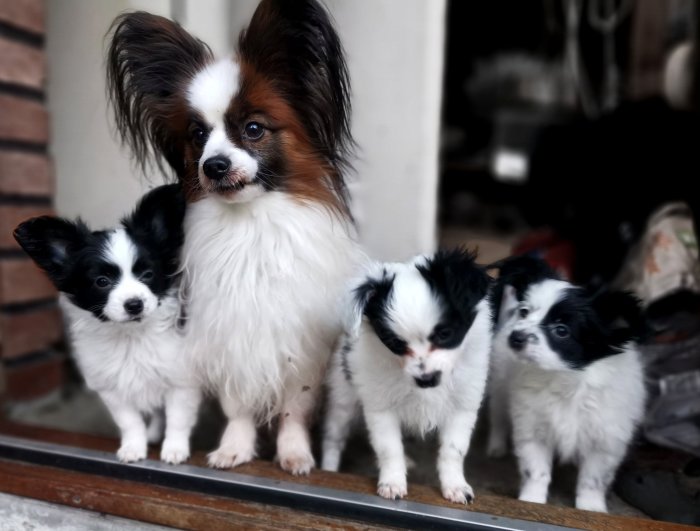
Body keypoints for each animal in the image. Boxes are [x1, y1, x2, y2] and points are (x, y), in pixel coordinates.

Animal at [13, 186, 201, 466]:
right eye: (101, 281)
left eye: (148, 275)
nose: (134, 304)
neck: (130, 337)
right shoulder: (112, 389)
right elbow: (130, 422)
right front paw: (134, 447)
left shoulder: (180, 381)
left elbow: (177, 419)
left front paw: (175, 450)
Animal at [322, 251, 490, 504]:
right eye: (394, 343)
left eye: (445, 334)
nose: (426, 379)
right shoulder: (381, 407)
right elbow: (389, 448)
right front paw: (392, 482)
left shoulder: (463, 405)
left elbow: (453, 450)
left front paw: (455, 485)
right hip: (343, 396)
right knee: (334, 438)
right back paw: (329, 470)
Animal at [486, 256, 644, 512]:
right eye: (524, 312)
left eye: (561, 331)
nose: (515, 337)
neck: (566, 378)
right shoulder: (533, 430)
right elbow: (536, 471)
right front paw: (531, 501)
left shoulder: (605, 441)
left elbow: (593, 479)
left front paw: (591, 508)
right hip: (499, 386)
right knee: (498, 417)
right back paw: (496, 447)